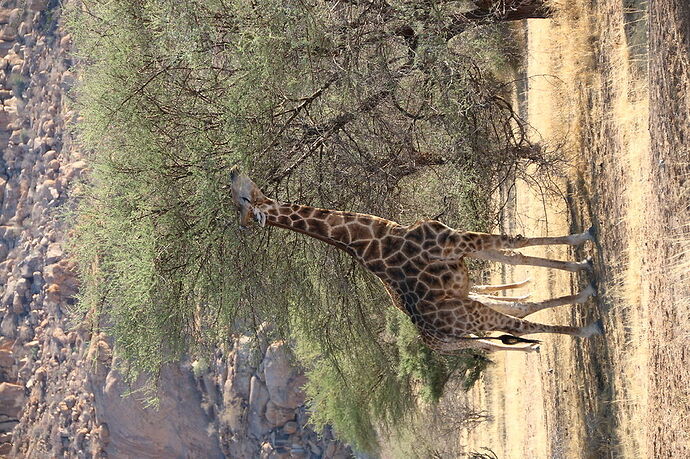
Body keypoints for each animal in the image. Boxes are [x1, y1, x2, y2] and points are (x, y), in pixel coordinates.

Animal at [228, 169, 600, 352]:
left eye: (244, 195)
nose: (232, 171)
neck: (377, 237)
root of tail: (433, 332)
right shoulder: (456, 242)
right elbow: (516, 246)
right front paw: (586, 245)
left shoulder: (460, 248)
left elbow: (517, 252)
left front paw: (581, 256)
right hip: (467, 316)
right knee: (519, 327)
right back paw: (589, 326)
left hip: (468, 315)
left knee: (517, 317)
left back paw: (582, 297)